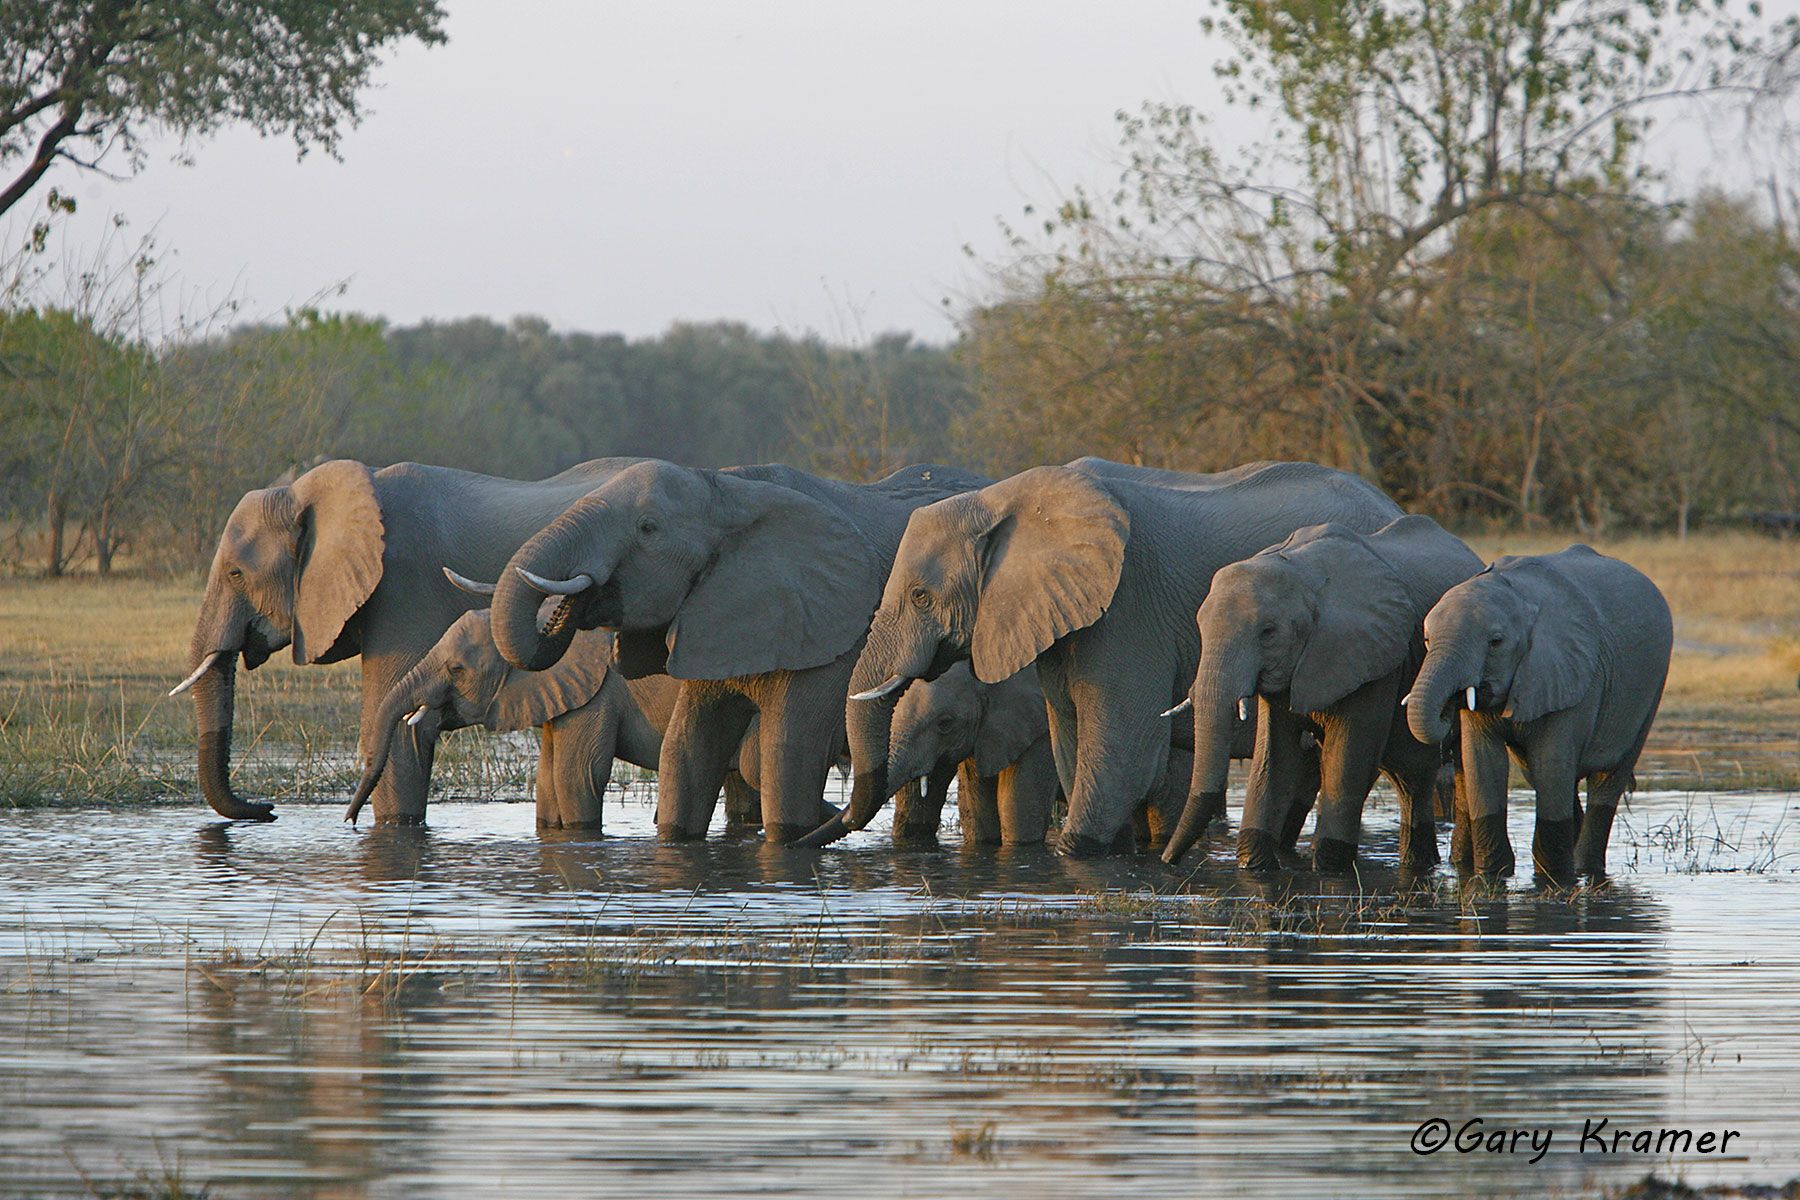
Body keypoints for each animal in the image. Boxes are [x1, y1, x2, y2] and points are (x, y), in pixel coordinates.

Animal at [485, 459, 992, 844]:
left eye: (648, 528)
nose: (570, 605)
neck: (729, 490)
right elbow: (687, 749)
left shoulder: (830, 630)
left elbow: (787, 753)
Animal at [1161, 516, 1484, 872]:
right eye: (1201, 627)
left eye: (1268, 632)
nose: (1168, 861)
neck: (1299, 569)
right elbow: (1273, 762)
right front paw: (1254, 866)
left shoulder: (1374, 657)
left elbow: (1346, 765)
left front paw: (1330, 868)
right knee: (1412, 779)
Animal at [1405, 545, 1673, 885]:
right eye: (1427, 640)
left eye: (1496, 642)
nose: (1448, 706)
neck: (1518, 596)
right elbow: (1483, 763)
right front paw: (1492, 875)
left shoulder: (1570, 673)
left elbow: (1551, 762)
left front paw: (1552, 880)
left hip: (1650, 691)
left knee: (1606, 782)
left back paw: (1585, 869)